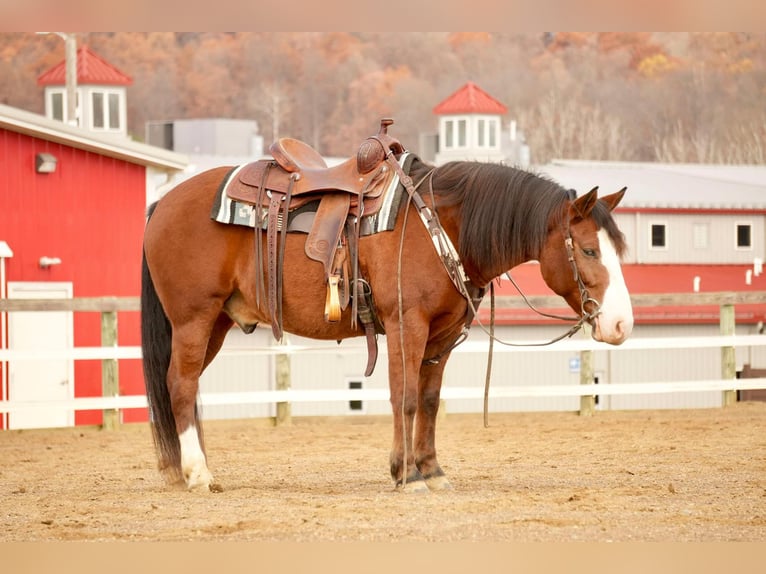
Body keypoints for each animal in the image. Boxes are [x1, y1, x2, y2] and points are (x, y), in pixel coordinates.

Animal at [141, 151, 632, 492]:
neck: (441, 226)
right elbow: (405, 397)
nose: (621, 325)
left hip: (217, 323)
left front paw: (432, 471)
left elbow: (429, 402)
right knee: (181, 385)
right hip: (194, 318)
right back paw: (198, 474)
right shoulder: (406, 325)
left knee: (187, 387)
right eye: (589, 250)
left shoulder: (441, 337)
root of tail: (164, 202)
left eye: (618, 248)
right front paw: (407, 474)